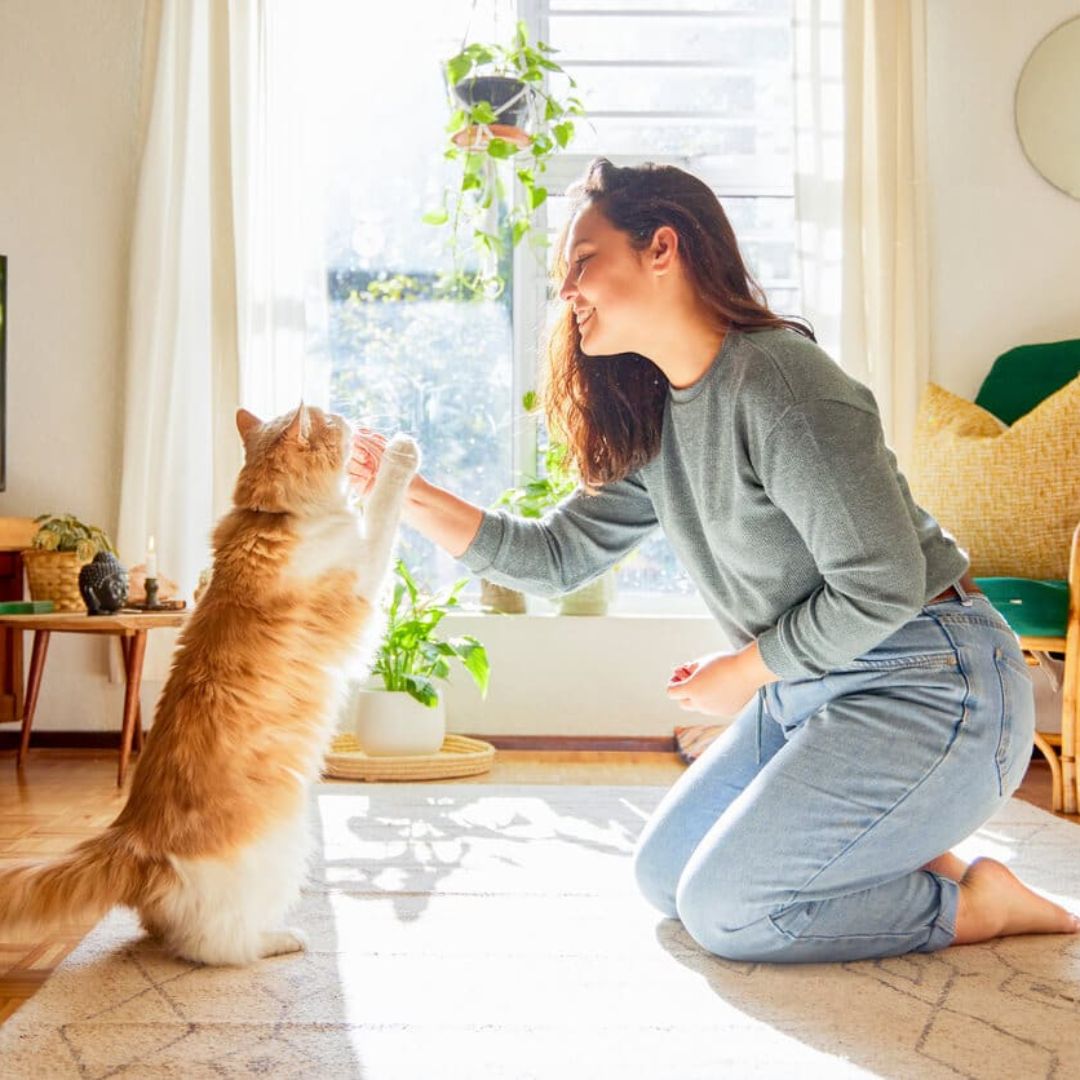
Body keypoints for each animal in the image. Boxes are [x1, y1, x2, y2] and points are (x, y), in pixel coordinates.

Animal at [0, 406, 419, 963]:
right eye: (332, 420)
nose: (349, 417)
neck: (270, 515)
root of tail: (132, 836)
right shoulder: (361, 579)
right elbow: (383, 512)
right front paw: (401, 453)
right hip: (286, 846)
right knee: (212, 946)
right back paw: (281, 939)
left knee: (164, 930)